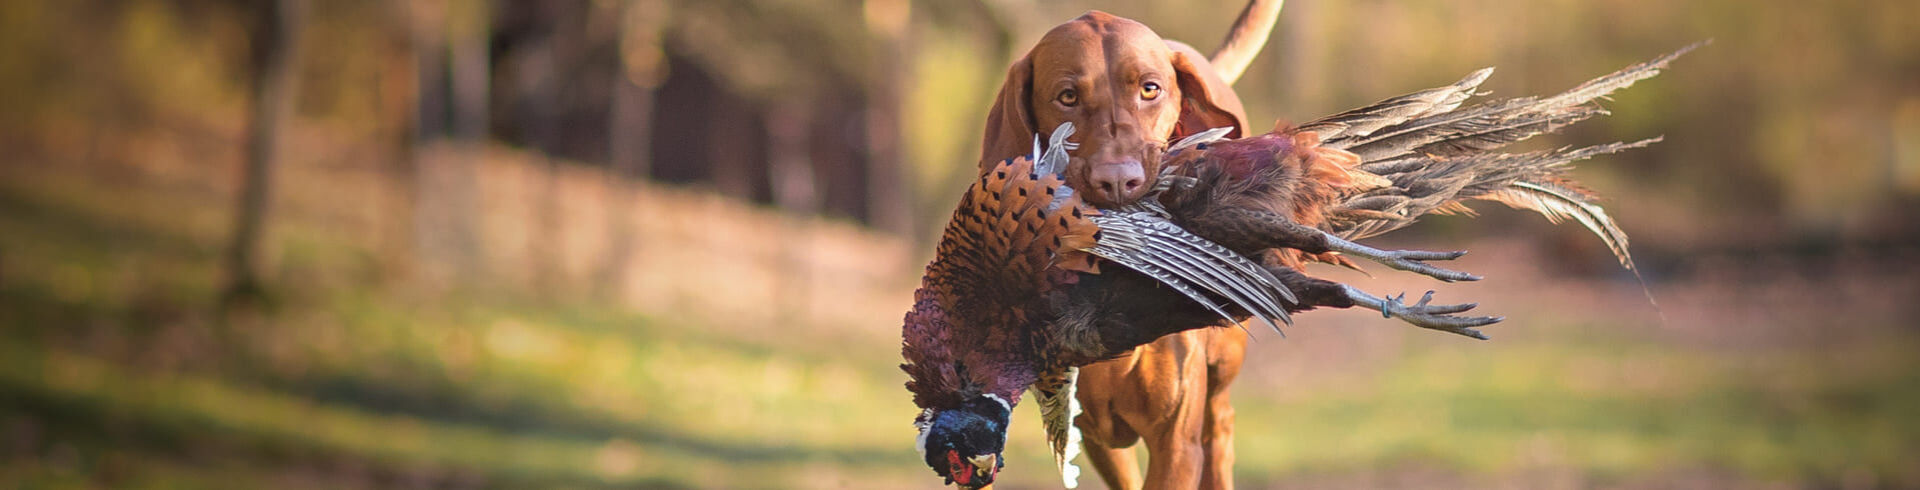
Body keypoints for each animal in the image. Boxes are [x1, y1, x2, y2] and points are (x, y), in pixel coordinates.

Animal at [983, 4, 1282, 490]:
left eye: (1149, 89)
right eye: (1067, 96)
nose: (1119, 181)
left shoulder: (1175, 441)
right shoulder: (1089, 432)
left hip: (1224, 365)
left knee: (1220, 423)